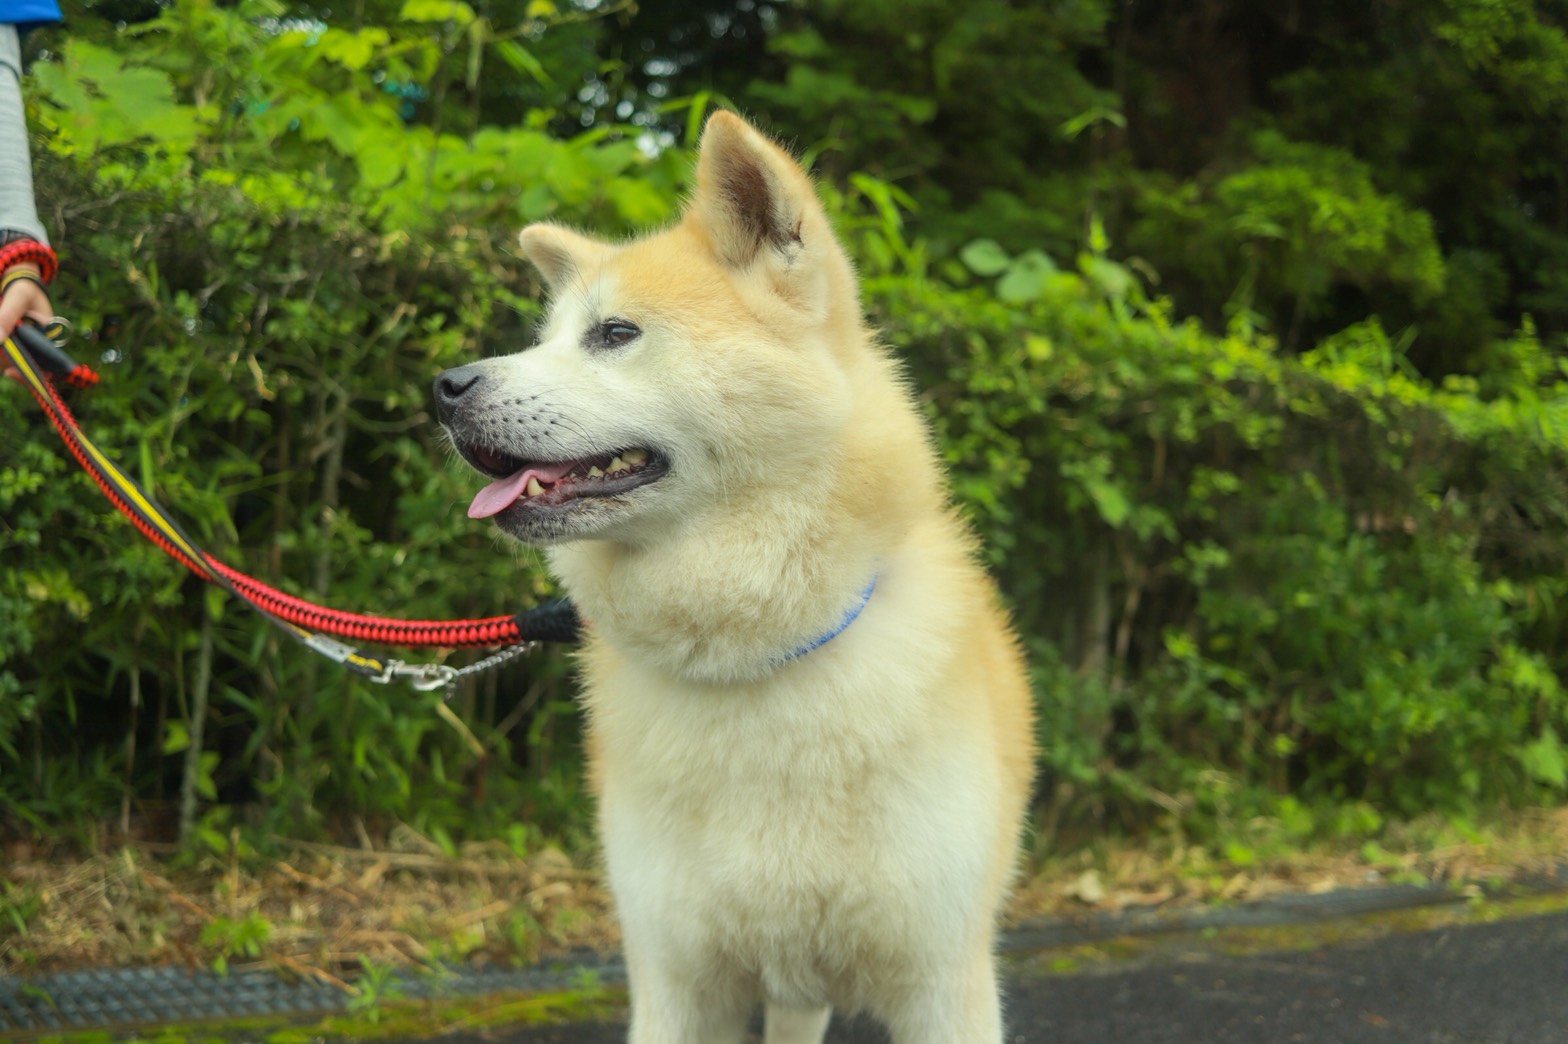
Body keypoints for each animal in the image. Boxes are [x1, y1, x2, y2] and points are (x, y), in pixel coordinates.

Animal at [435, 112, 1034, 1040]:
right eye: (545, 339)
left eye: (614, 334)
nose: (445, 386)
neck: (755, 656)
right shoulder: (677, 984)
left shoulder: (943, 986)